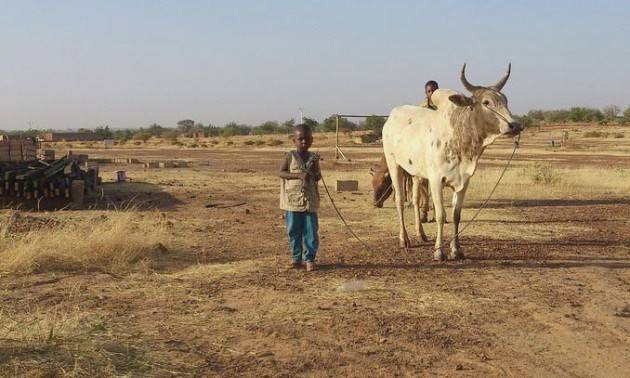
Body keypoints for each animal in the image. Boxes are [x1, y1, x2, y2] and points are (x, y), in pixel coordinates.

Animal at [386, 64, 524, 260]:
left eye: (505, 100)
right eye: (486, 102)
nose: (515, 126)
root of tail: (392, 116)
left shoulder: (463, 181)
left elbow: (456, 215)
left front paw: (456, 249)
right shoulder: (436, 180)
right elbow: (440, 215)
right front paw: (439, 251)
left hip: (416, 174)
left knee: (414, 199)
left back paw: (421, 234)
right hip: (394, 165)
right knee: (399, 200)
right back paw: (404, 239)